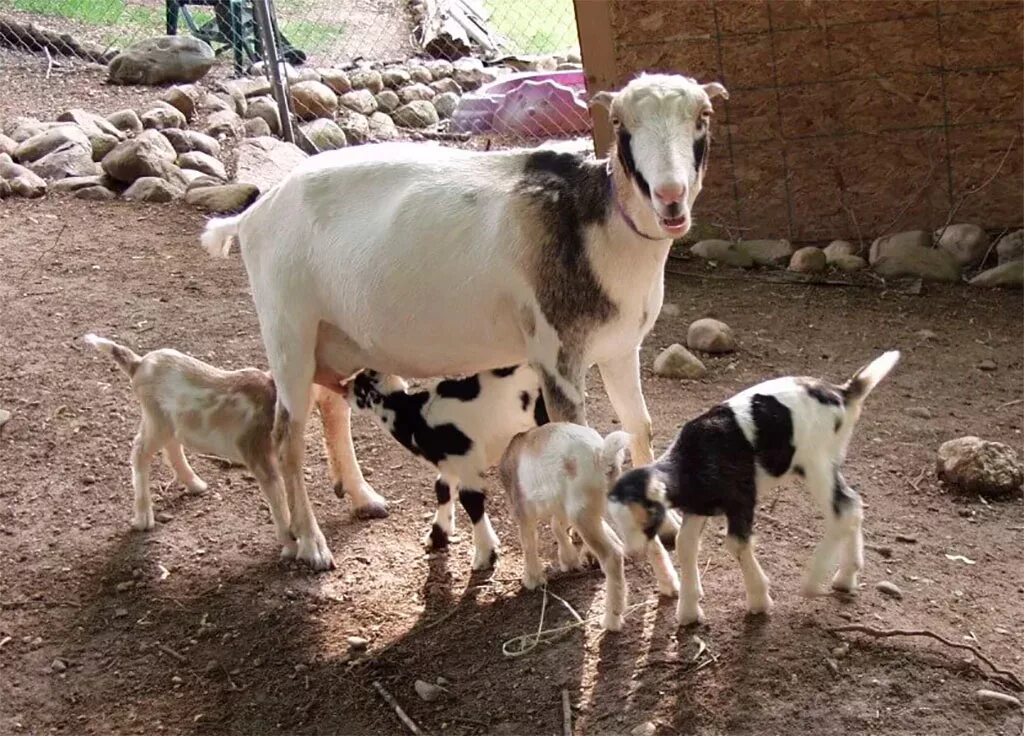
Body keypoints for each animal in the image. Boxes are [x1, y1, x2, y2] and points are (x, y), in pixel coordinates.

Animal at [201, 74, 729, 569]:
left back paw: (360, 499)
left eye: (702, 115)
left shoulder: (619, 348)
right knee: (285, 439)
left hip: (333, 336)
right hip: (287, 329)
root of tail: (251, 216)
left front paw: (666, 521)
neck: (596, 227)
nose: (670, 197)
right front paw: (590, 545)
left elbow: (640, 424)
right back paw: (309, 543)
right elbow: (573, 434)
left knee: (331, 407)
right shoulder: (556, 353)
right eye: (619, 123)